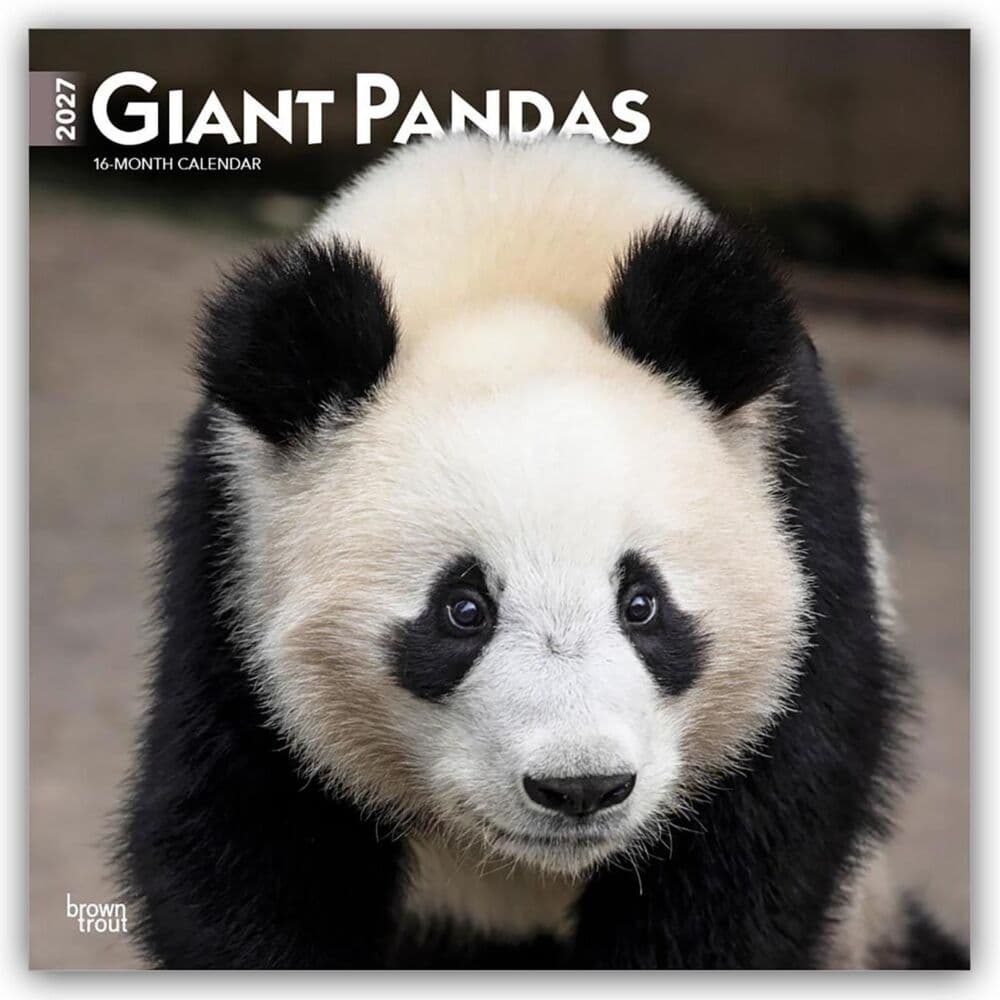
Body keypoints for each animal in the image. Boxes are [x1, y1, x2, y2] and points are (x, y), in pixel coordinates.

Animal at [119, 135, 967, 970]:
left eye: (642, 603)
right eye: (462, 610)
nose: (581, 787)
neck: (507, 250)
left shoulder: (805, 520)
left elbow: (756, 847)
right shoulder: (232, 558)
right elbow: (235, 834)